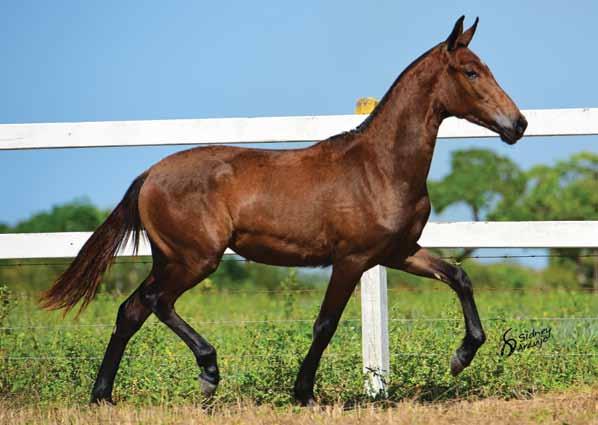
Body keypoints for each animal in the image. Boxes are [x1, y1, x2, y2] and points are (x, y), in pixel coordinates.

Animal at [43, 16, 528, 404]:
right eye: (471, 71)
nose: (518, 124)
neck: (379, 167)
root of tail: (149, 174)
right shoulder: (351, 259)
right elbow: (325, 324)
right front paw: (304, 393)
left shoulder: (397, 252)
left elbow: (459, 277)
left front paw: (462, 356)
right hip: (195, 259)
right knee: (156, 303)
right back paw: (208, 371)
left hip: (170, 258)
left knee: (131, 309)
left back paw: (102, 395)